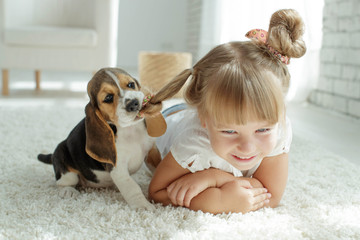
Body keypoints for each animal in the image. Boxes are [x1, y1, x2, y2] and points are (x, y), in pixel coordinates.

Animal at [37, 67, 165, 210]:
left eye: (131, 85)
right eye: (108, 98)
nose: (133, 103)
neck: (130, 129)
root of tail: (54, 155)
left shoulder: (152, 152)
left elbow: (157, 167)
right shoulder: (118, 169)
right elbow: (132, 187)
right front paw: (143, 205)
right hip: (64, 163)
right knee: (62, 182)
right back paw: (68, 191)